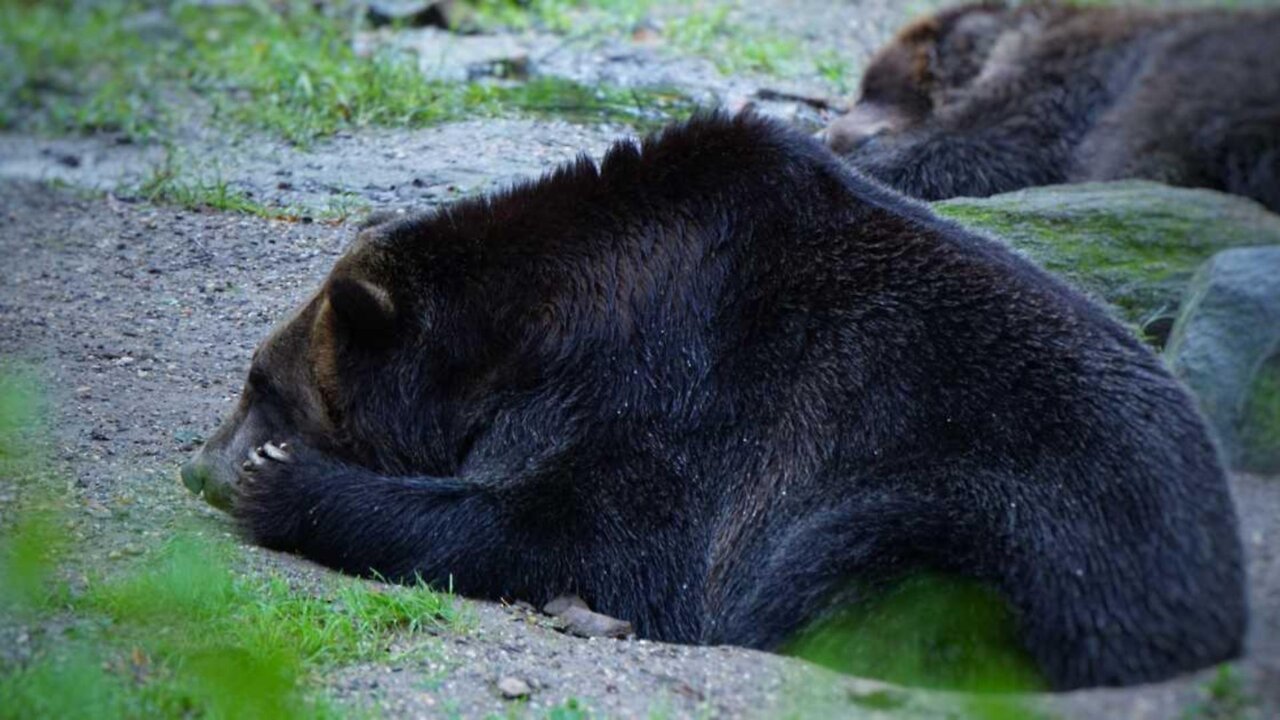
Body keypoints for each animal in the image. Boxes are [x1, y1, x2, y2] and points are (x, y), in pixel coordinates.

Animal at [180, 113, 1239, 691]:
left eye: (261, 385)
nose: (199, 465)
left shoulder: (680, 385)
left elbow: (579, 528)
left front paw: (285, 481)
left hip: (1017, 525)